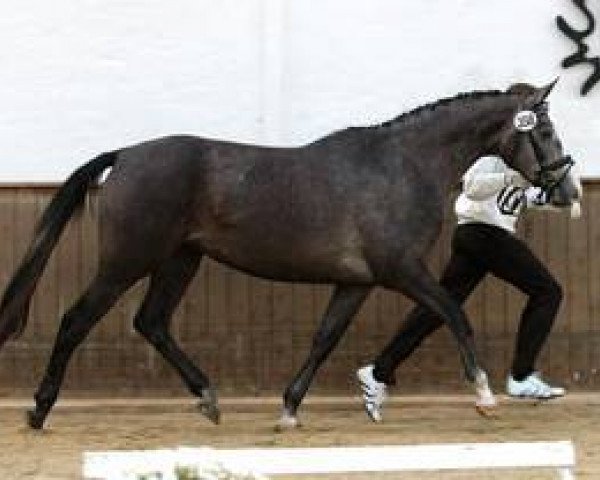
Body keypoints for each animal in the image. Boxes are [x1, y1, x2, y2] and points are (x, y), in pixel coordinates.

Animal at [0, 80, 580, 430]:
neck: (402, 165)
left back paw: (208, 398)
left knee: (152, 322)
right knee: (78, 320)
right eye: (546, 130)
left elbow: (325, 338)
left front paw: (290, 410)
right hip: (127, 261)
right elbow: (454, 313)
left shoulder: (358, 281)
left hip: (181, 259)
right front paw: (483, 396)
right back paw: (39, 410)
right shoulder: (401, 271)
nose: (568, 189)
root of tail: (124, 156)